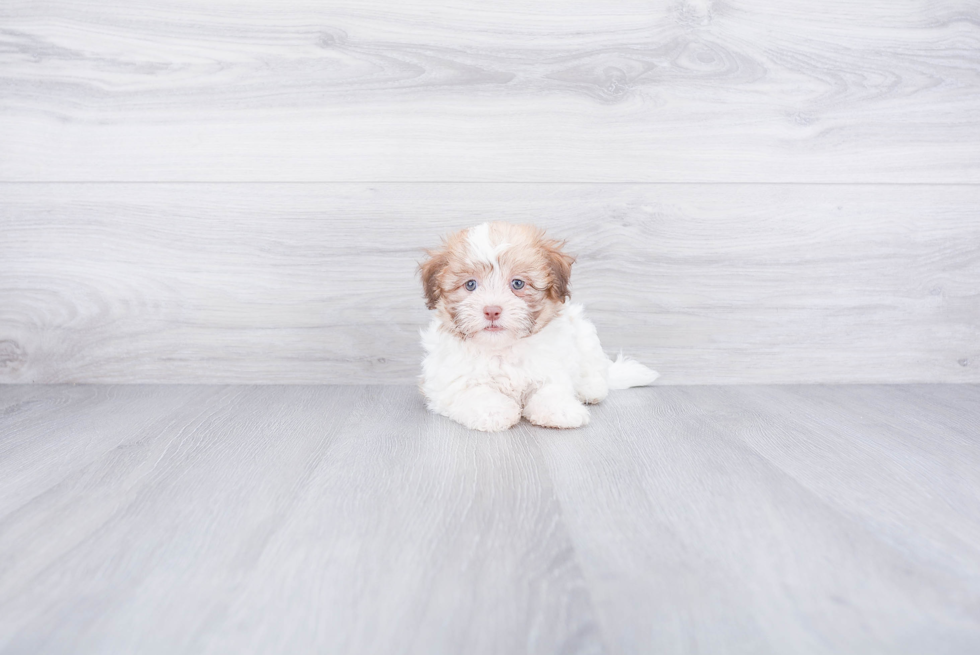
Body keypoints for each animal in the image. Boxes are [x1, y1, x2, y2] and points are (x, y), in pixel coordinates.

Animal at [416, 223, 660, 434]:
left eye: (517, 284)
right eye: (470, 285)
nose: (492, 310)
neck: (502, 349)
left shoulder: (552, 366)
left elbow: (550, 389)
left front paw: (561, 410)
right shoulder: (448, 382)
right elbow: (475, 392)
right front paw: (494, 410)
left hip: (584, 332)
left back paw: (591, 388)